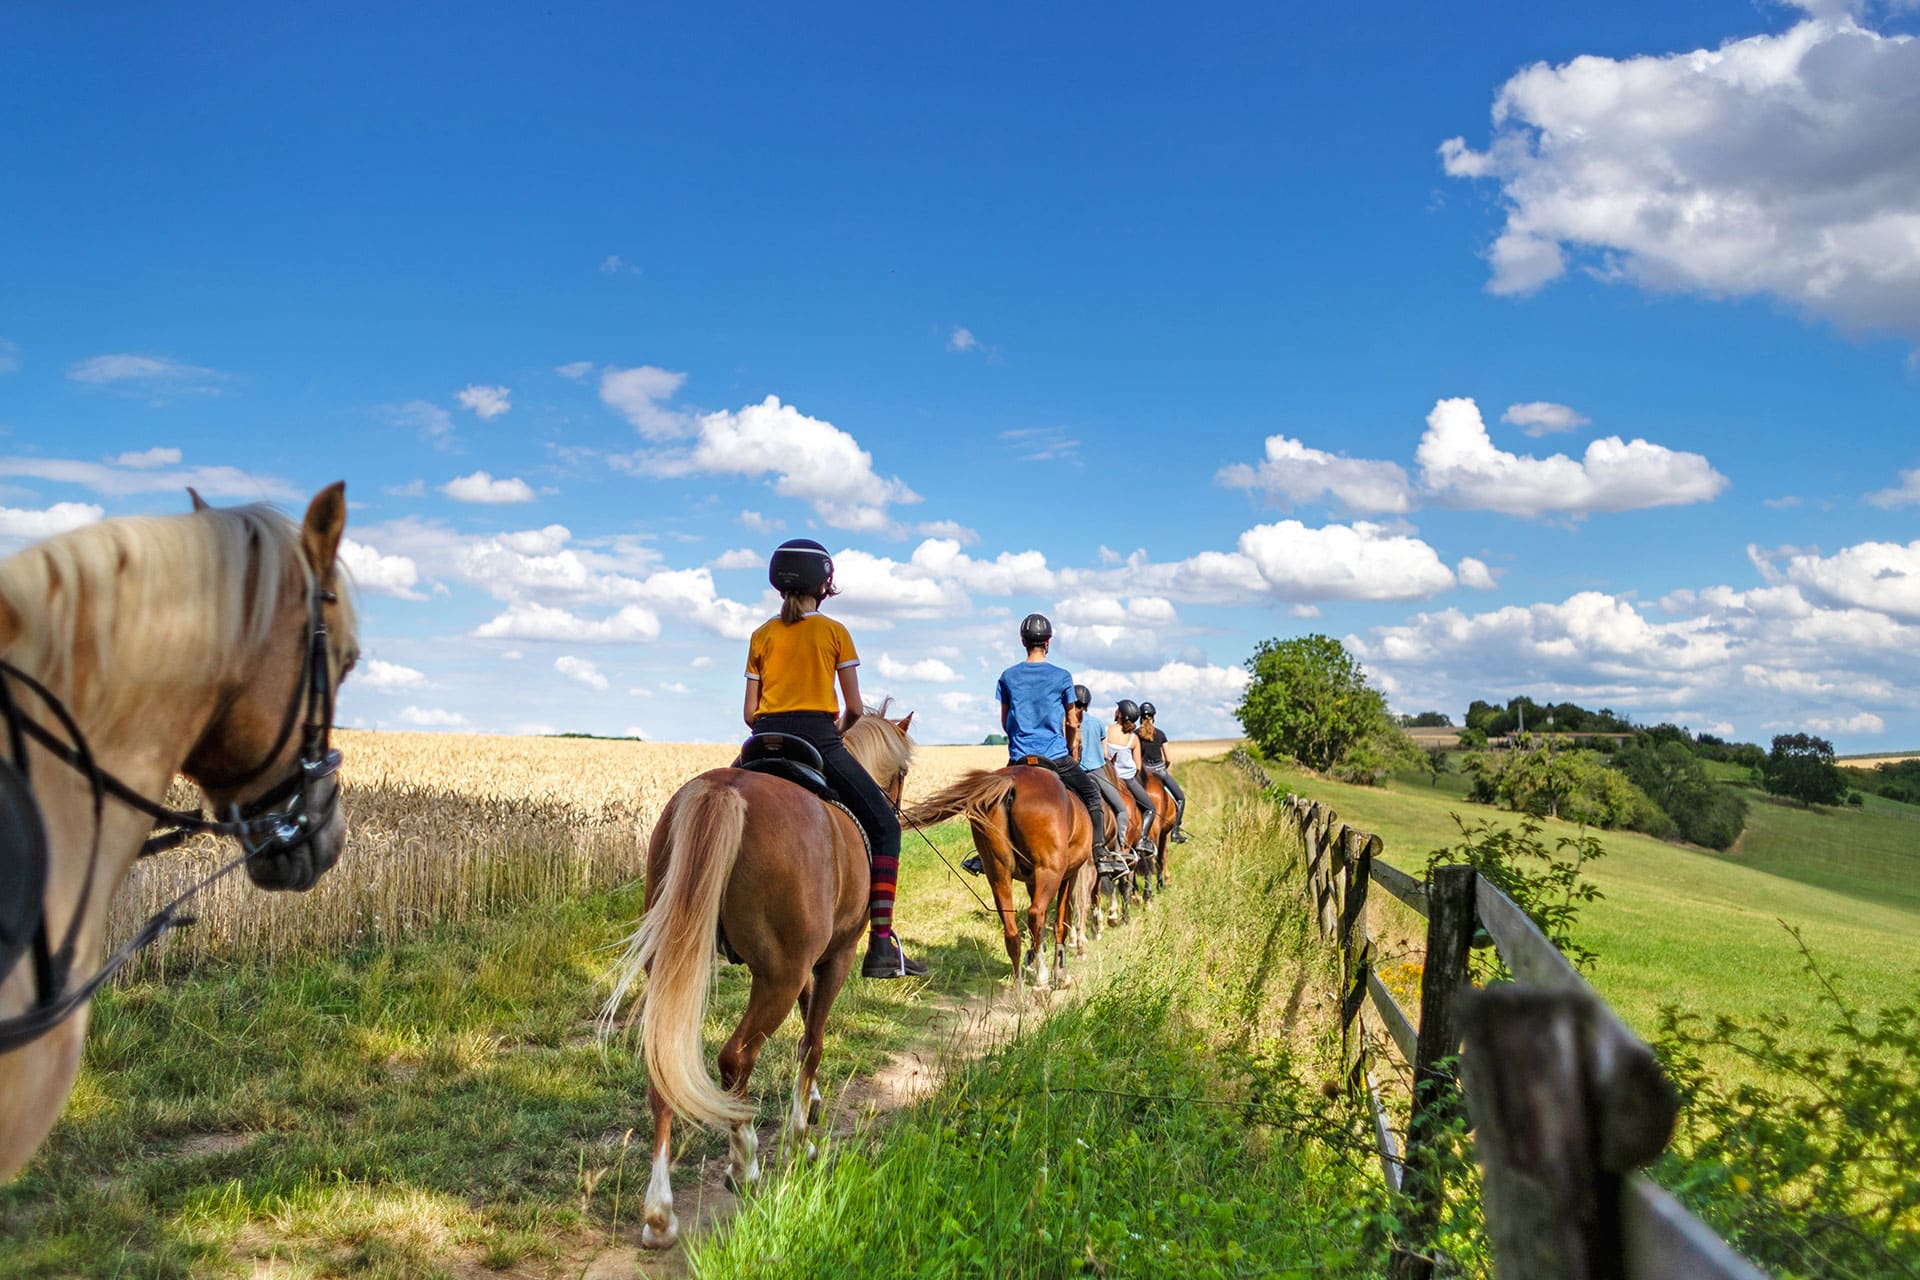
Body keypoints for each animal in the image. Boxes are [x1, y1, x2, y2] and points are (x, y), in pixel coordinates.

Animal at [606, 706, 921, 1243]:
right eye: (900, 772)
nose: (896, 806)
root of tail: (724, 789)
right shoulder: (834, 957)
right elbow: (813, 1040)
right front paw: (800, 1140)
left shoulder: (809, 964)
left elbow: (808, 1028)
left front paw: (811, 1104)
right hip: (778, 974)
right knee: (735, 1058)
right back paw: (745, 1164)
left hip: (679, 960)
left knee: (664, 1065)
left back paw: (659, 1213)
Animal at [902, 767, 1090, 997]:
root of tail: (1011, 780)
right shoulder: (1069, 875)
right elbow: (1061, 922)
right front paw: (1060, 975)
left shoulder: (1032, 881)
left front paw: (1034, 961)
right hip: (1049, 871)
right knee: (1036, 914)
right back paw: (1041, 982)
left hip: (997, 874)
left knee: (1012, 933)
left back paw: (1019, 992)